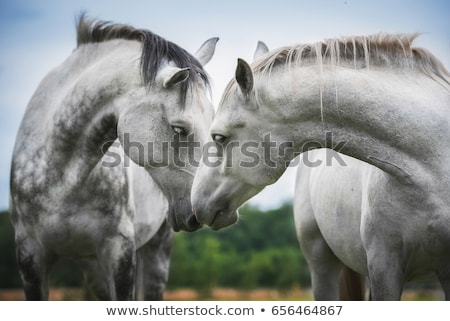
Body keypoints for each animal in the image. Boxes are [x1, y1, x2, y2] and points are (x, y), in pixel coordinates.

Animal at [8, 14, 216, 300]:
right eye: (178, 129)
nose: (202, 208)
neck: (62, 181)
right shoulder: (30, 257)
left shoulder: (120, 253)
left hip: (155, 255)